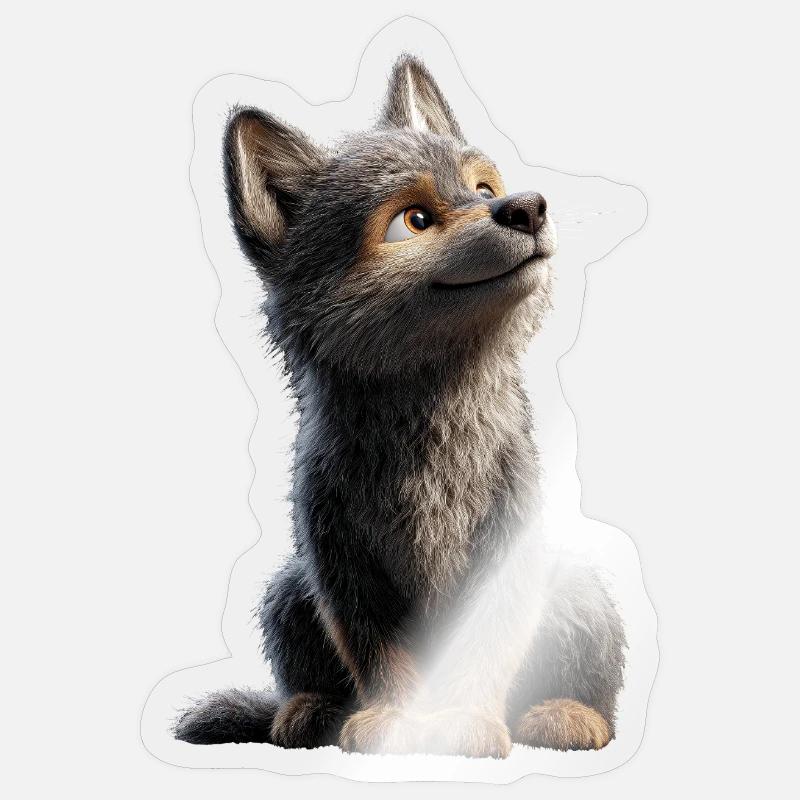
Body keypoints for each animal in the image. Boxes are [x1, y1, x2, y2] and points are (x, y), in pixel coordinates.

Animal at [173, 55, 625, 758]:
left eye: (485, 187)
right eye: (412, 220)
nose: (528, 206)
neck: (430, 424)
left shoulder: (509, 550)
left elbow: (486, 641)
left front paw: (465, 720)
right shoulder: (339, 562)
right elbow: (377, 652)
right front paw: (395, 724)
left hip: (583, 590)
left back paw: (567, 715)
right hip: (287, 592)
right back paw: (306, 713)